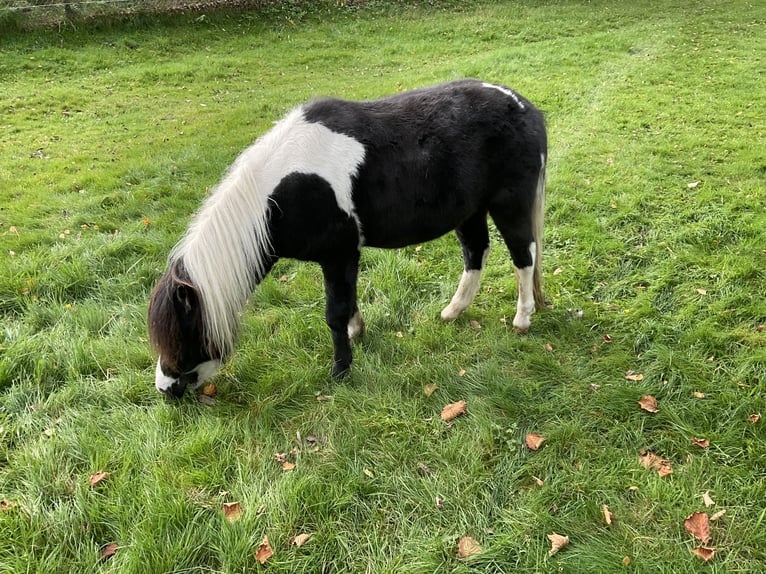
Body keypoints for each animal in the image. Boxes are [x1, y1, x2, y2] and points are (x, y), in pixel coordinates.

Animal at [148, 79, 547, 398]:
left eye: (183, 335)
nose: (165, 389)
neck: (285, 192)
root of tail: (524, 107)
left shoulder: (338, 255)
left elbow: (335, 313)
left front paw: (341, 369)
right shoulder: (344, 257)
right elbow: (349, 302)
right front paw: (358, 334)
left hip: (508, 205)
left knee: (523, 256)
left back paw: (522, 319)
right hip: (470, 212)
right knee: (476, 253)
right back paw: (452, 312)